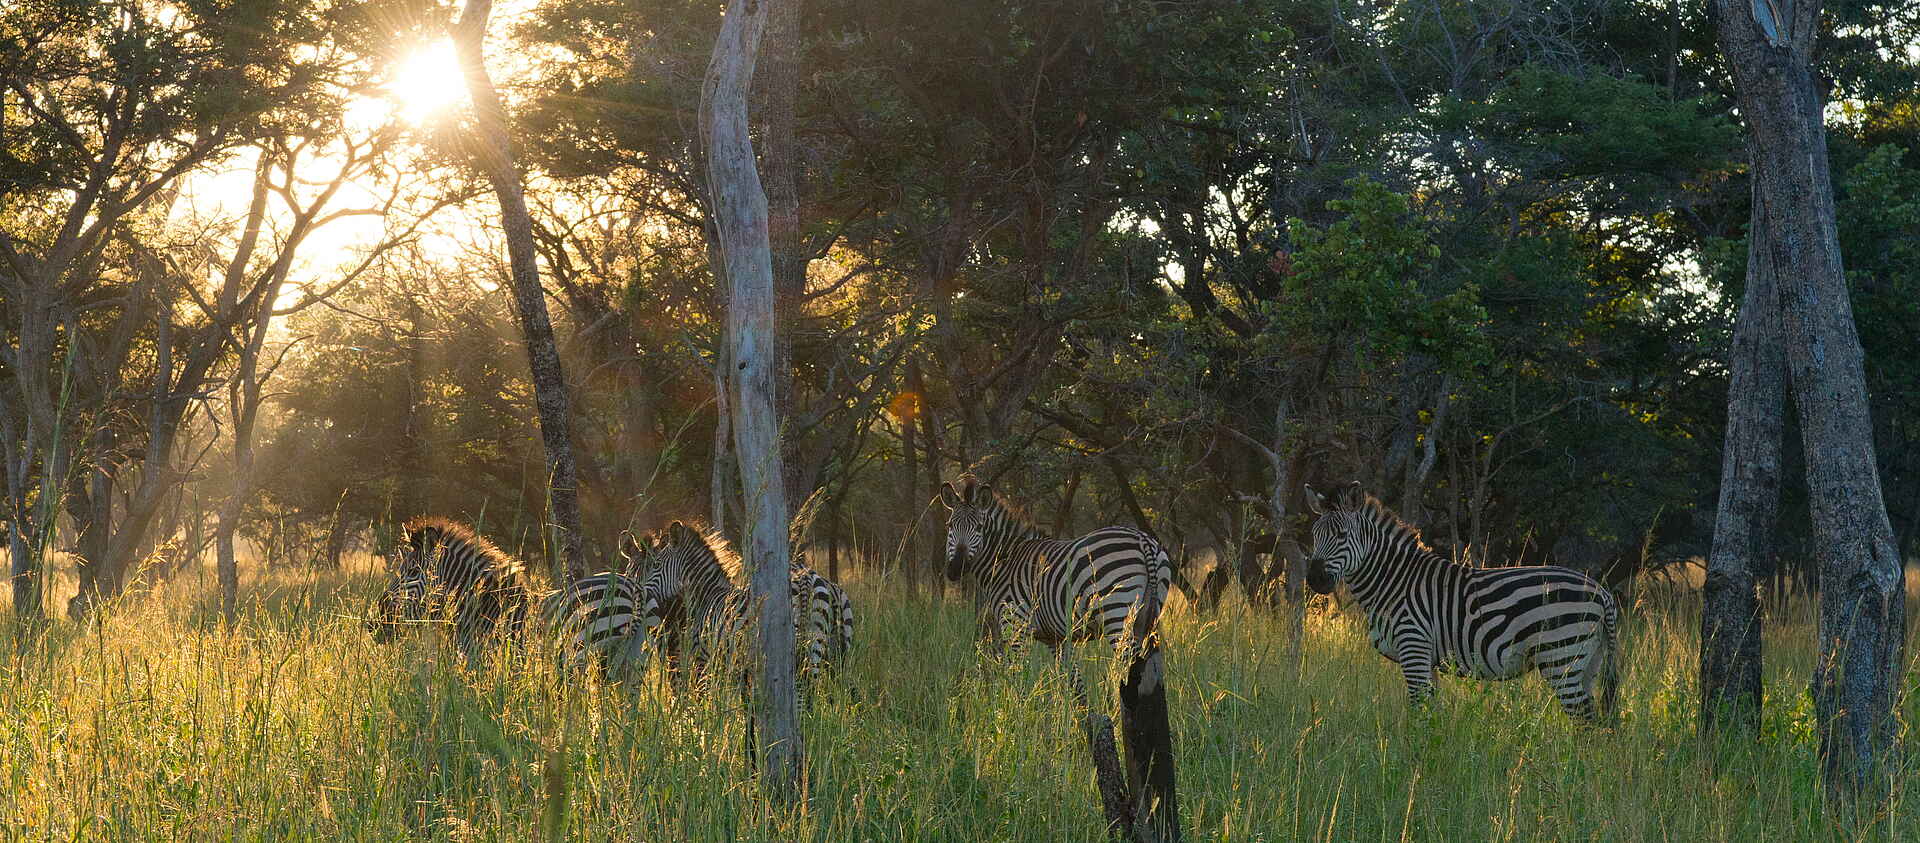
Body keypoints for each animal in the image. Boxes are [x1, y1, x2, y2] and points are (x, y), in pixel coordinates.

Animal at [938, 476, 1171, 706]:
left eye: (979, 527)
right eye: (949, 526)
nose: (956, 568)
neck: (1005, 561)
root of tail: (1142, 538)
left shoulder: (1015, 625)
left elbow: (1018, 677)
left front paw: (1017, 713)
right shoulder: (1056, 637)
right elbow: (1076, 685)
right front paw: (1081, 716)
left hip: (1116, 613)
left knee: (1130, 665)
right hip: (1148, 616)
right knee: (1150, 669)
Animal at [1302, 481, 1621, 723]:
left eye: (1342, 535)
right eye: (1314, 535)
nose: (1315, 579)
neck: (1393, 582)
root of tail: (1601, 592)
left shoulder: (1413, 645)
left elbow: (1420, 715)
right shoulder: (1426, 657)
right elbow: (1431, 714)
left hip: (1561, 657)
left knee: (1585, 722)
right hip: (1588, 660)